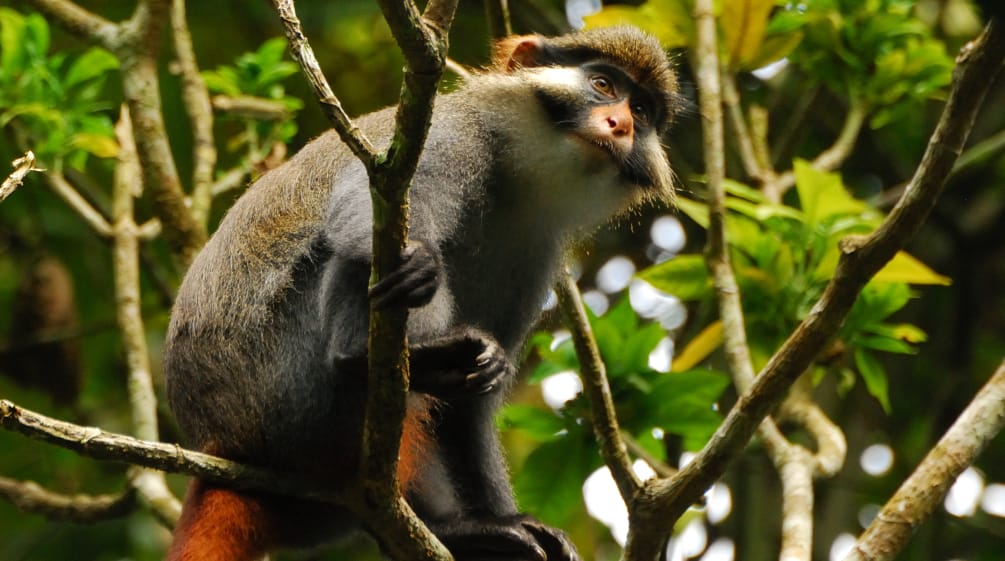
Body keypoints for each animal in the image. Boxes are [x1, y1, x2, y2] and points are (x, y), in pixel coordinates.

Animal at [164, 25, 679, 561]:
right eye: (602, 84)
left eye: (642, 110)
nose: (620, 123)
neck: (516, 174)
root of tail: (221, 445)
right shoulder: (448, 134)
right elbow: (365, 210)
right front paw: (417, 264)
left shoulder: (536, 249)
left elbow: (470, 411)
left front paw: (500, 519)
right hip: (285, 397)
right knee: (355, 261)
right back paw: (366, 351)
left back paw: (457, 528)